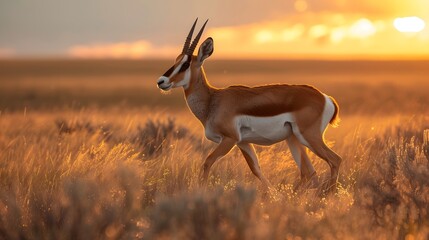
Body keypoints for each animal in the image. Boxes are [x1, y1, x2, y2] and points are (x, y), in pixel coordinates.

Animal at [156, 18, 342, 191]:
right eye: (176, 60)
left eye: (186, 64)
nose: (161, 81)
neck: (212, 101)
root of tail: (326, 98)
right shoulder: (243, 142)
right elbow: (256, 169)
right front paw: (274, 195)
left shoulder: (229, 139)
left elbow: (207, 162)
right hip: (294, 138)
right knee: (309, 172)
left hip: (308, 137)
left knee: (335, 160)